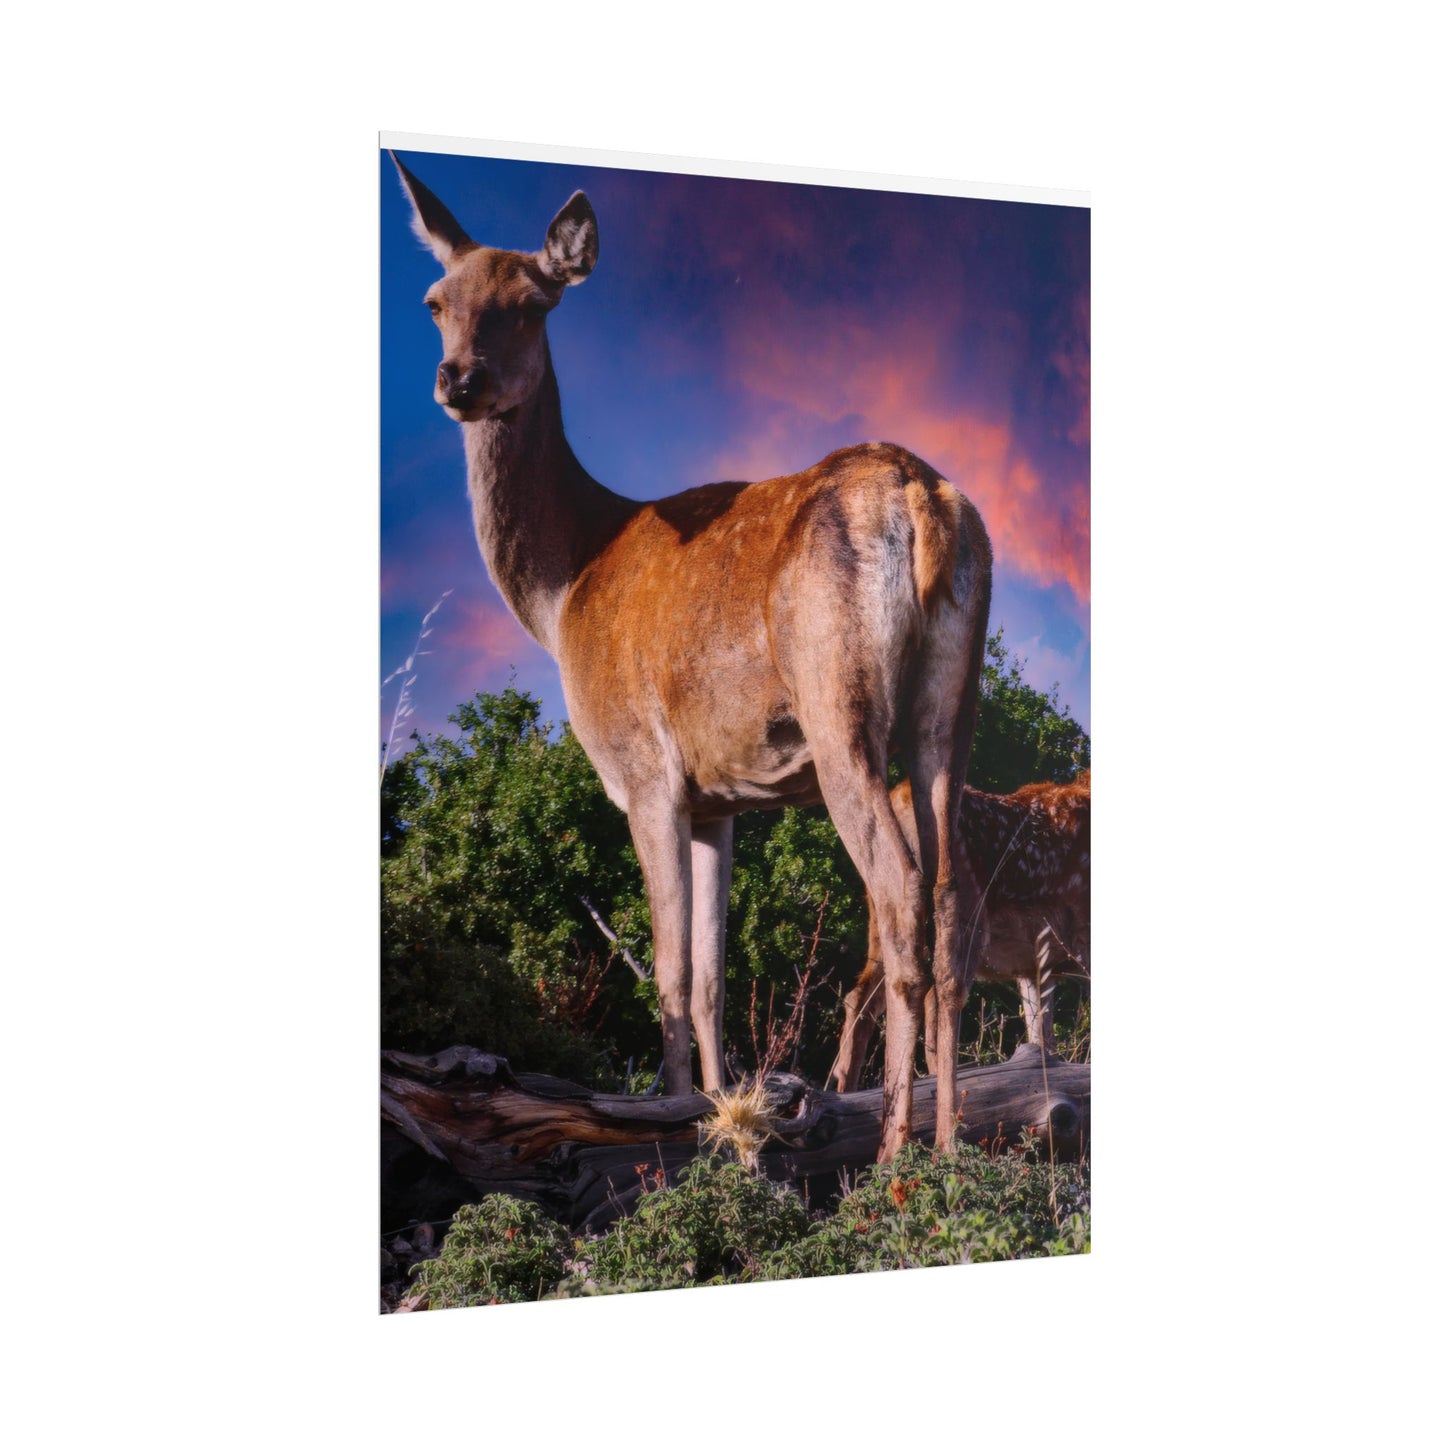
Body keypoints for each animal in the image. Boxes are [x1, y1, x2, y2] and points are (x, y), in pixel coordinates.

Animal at [390, 153, 993, 1161]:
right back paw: (950, 1144)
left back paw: (893, 1151)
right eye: (437, 299)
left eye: (531, 302)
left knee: (899, 890)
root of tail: (921, 498)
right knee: (950, 895)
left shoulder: (643, 769)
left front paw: (669, 1125)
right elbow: (711, 977)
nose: (457, 378)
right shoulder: (719, 799)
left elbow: (668, 971)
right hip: (950, 704)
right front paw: (720, 1117)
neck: (562, 589)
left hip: (839, 701)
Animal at [830, 773, 1091, 1094]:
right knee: (938, 1006)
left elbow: (1042, 1042)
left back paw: (846, 1090)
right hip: (962, 920)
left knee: (863, 997)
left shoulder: (1035, 967)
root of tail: (901, 797)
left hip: (884, 923)